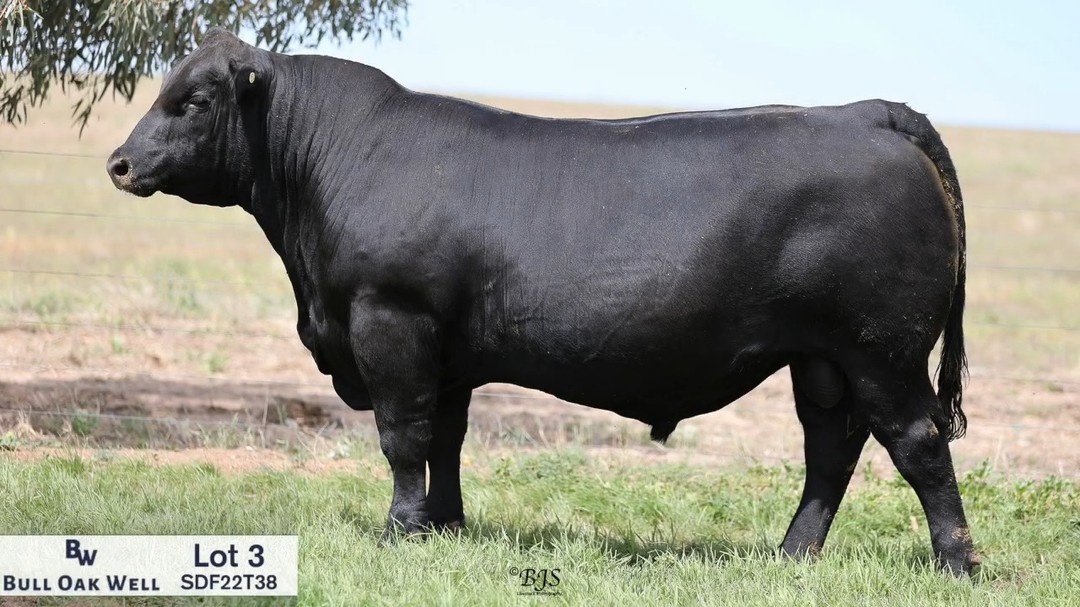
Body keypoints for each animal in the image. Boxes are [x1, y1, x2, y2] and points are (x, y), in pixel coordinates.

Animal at [107, 28, 977, 575]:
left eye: (195, 101)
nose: (118, 162)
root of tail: (862, 113)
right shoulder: (447, 352)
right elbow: (446, 439)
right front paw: (447, 526)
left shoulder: (392, 322)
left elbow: (401, 438)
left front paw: (400, 533)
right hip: (822, 358)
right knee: (832, 448)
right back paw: (791, 555)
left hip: (883, 349)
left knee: (917, 444)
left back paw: (958, 562)